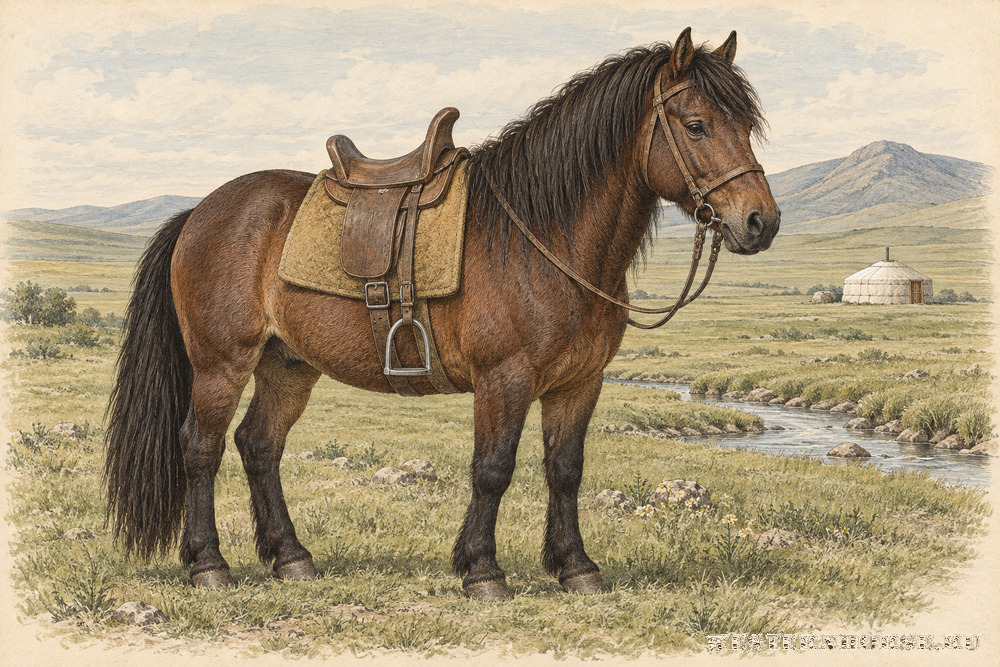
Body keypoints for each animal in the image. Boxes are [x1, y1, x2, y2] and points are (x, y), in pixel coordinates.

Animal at [104, 28, 779, 601]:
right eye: (696, 125)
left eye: (747, 124)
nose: (761, 222)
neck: (542, 236)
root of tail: (199, 212)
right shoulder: (504, 378)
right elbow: (493, 469)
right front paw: (482, 570)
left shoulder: (579, 383)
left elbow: (565, 470)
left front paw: (576, 567)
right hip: (221, 363)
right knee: (201, 446)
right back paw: (208, 564)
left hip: (288, 364)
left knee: (258, 444)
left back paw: (292, 558)